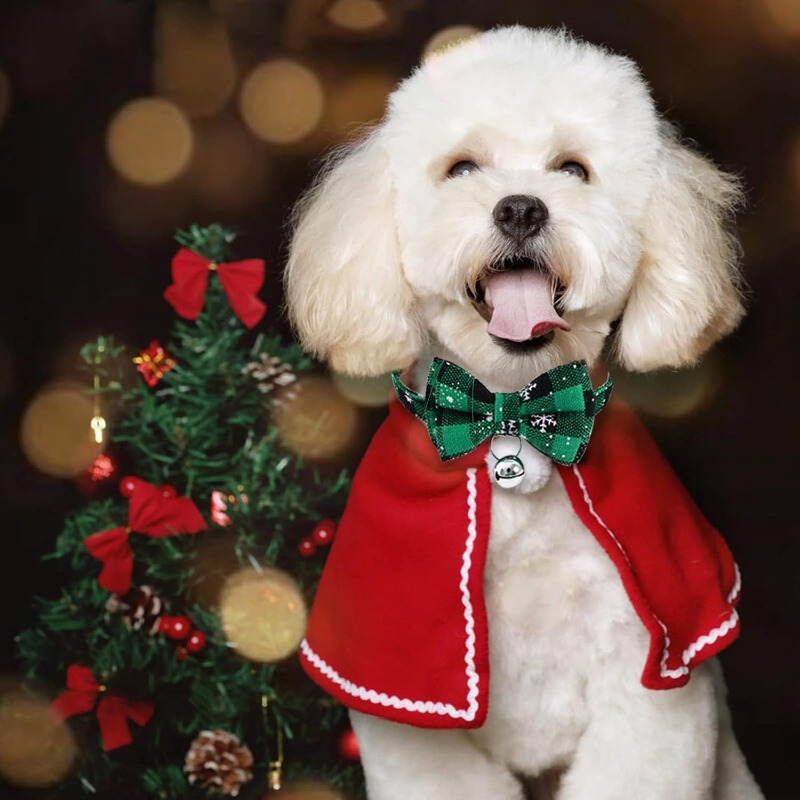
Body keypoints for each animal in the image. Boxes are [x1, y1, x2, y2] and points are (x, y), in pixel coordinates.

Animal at [282, 26, 764, 800]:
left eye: (573, 168)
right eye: (461, 167)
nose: (520, 208)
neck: (513, 410)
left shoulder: (652, 673)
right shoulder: (410, 709)